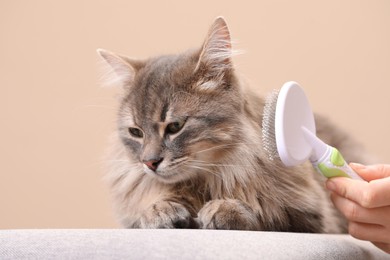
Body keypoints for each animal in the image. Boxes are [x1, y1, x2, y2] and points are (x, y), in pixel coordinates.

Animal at [97, 16, 366, 232]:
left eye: (175, 126)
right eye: (136, 132)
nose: (149, 163)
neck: (205, 180)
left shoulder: (313, 217)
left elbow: (266, 214)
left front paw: (225, 209)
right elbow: (149, 208)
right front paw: (160, 210)